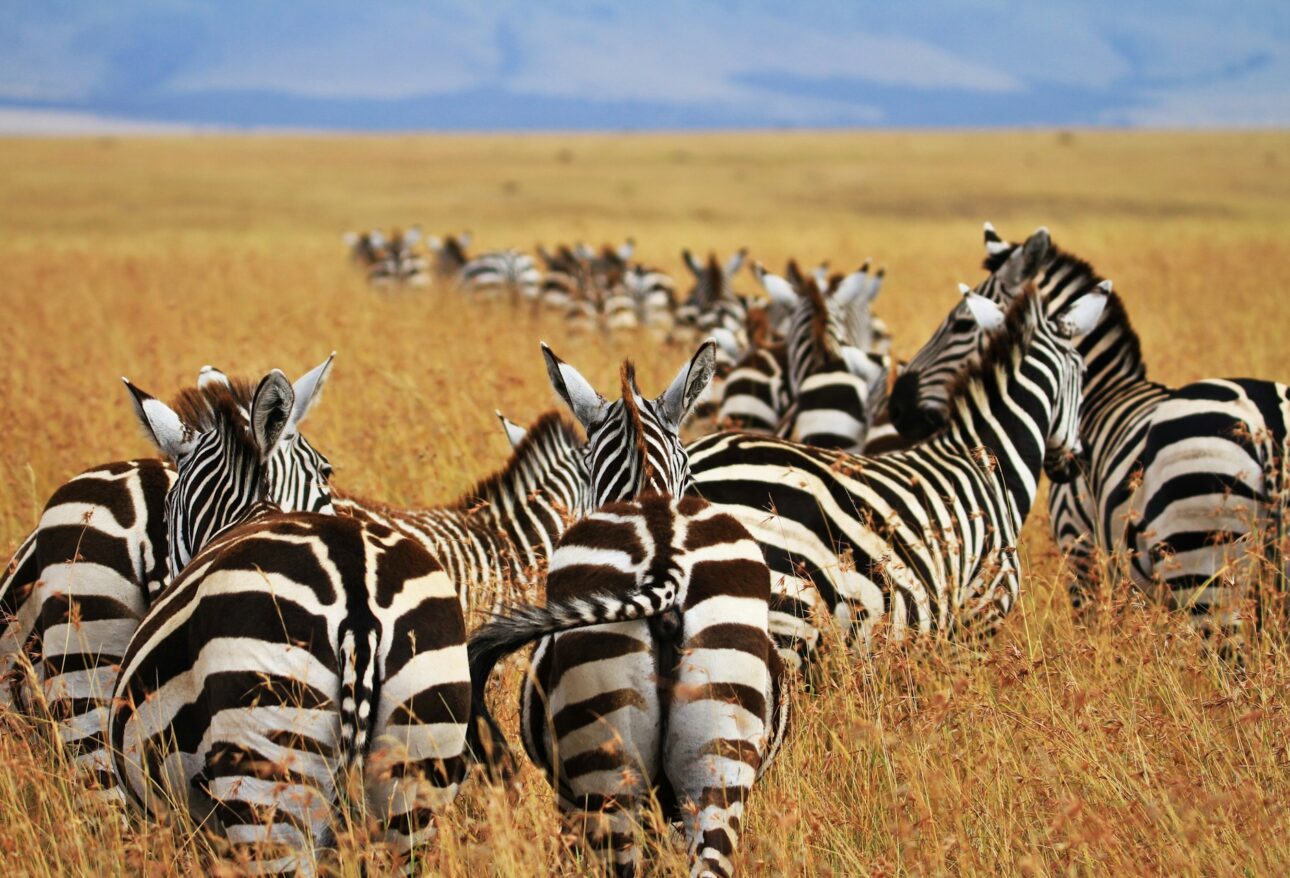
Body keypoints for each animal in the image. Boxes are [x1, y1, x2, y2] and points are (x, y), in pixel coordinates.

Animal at [888, 224, 1290, 638]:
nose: (896, 407)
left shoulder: (1080, 550)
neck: (1100, 395)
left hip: (1203, 564)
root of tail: (1268, 423)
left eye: (962, 324)